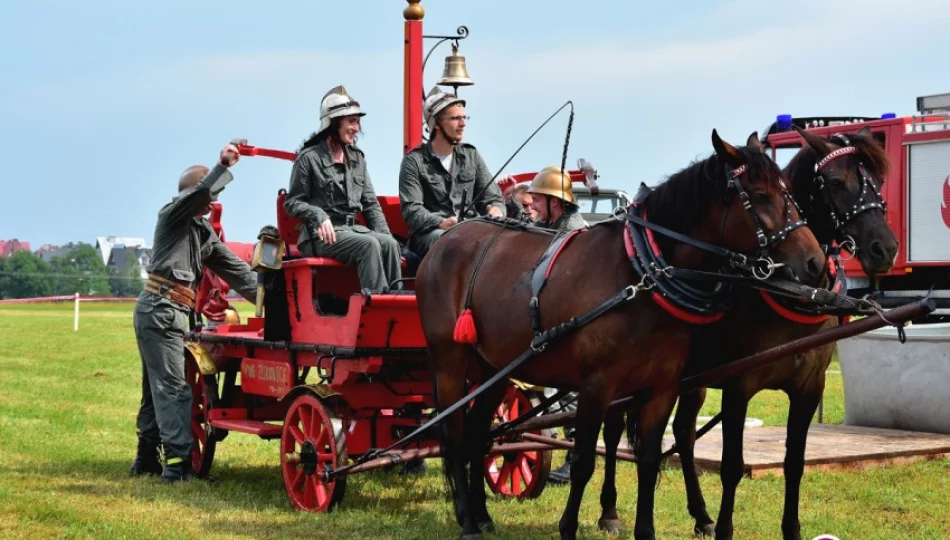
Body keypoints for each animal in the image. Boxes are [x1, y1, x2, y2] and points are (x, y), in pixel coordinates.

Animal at [420, 131, 828, 540]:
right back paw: (468, 521)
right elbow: (584, 461)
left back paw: (482, 515)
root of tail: (446, 239)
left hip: (492, 369)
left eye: (790, 191)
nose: (816, 264)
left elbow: (647, 459)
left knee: (479, 435)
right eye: (759, 195)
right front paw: (568, 528)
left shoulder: (662, 387)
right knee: (455, 438)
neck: (641, 274)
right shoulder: (597, 385)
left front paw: (643, 530)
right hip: (450, 364)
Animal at [668, 127, 900, 540]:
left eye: (876, 182)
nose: (885, 249)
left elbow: (795, 461)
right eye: (836, 182)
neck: (791, 289)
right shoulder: (738, 386)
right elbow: (731, 466)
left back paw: (700, 514)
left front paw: (791, 529)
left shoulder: (809, 387)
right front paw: (726, 528)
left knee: (682, 431)